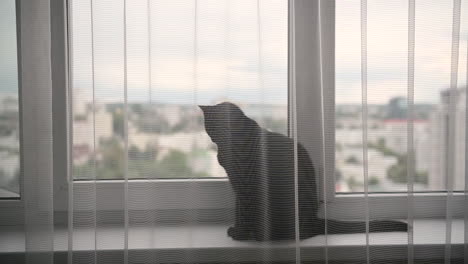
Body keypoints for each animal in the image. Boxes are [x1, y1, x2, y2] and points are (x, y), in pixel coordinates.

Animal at [199, 102, 408, 241]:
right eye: (209, 126)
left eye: (217, 126)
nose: (213, 137)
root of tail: (315, 221)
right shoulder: (236, 183)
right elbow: (239, 209)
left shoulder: (244, 184)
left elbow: (244, 210)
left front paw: (240, 233)